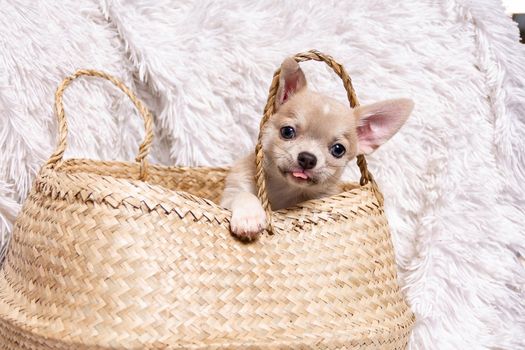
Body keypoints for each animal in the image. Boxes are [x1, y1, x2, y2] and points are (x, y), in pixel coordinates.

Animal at [219, 58, 412, 243]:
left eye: (338, 150)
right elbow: (243, 195)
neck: (285, 189)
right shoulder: (230, 195)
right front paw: (249, 217)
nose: (307, 158)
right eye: (287, 132)